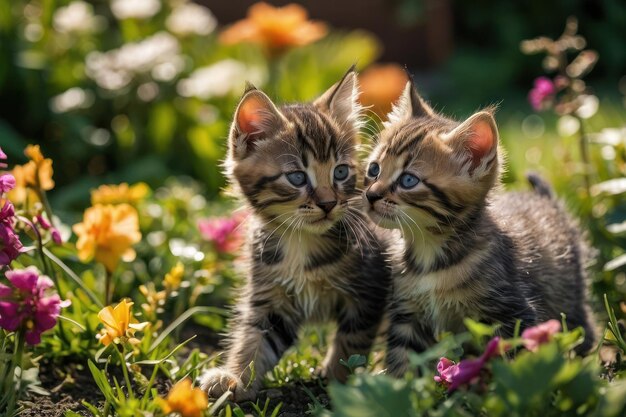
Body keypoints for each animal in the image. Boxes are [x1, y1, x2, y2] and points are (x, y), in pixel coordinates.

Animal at [200, 69, 390, 400]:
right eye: (297, 177)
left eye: (340, 172)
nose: (328, 204)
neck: (300, 240)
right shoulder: (271, 298)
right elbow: (254, 340)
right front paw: (235, 378)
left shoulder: (370, 290)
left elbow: (351, 342)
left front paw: (340, 381)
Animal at [364, 79, 596, 376]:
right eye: (374, 169)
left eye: (408, 180)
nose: (370, 195)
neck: (429, 252)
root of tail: (546, 200)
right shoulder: (407, 314)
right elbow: (403, 362)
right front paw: (398, 385)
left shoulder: (511, 312)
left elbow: (516, 360)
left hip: (571, 296)